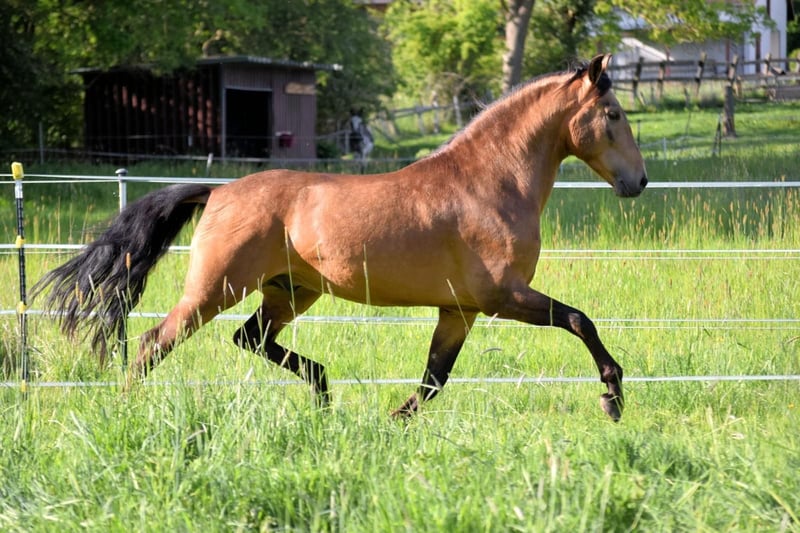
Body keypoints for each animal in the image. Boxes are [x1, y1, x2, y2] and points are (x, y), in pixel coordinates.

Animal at [33, 55, 646, 421]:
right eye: (614, 114)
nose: (637, 182)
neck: (489, 182)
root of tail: (220, 191)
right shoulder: (502, 296)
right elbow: (580, 321)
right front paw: (612, 397)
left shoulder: (460, 310)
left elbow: (434, 377)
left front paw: (394, 422)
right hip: (215, 288)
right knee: (153, 342)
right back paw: (124, 409)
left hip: (289, 292)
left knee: (250, 339)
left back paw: (325, 394)